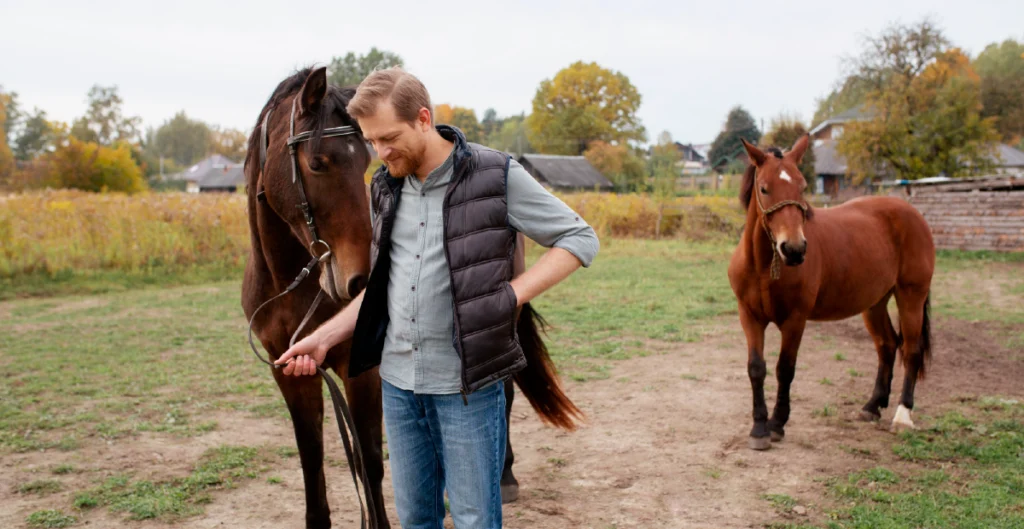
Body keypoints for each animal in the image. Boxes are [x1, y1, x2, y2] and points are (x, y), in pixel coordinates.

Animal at [727, 135, 935, 451]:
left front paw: (777, 424)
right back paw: (872, 406)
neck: (764, 267)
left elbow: (784, 369)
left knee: (911, 350)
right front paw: (759, 428)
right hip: (874, 303)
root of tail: (912, 214)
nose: (794, 249)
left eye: (802, 186)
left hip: (911, 296)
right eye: (764, 188)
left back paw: (902, 415)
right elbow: (756, 368)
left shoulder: (795, 320)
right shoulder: (749, 317)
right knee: (887, 345)